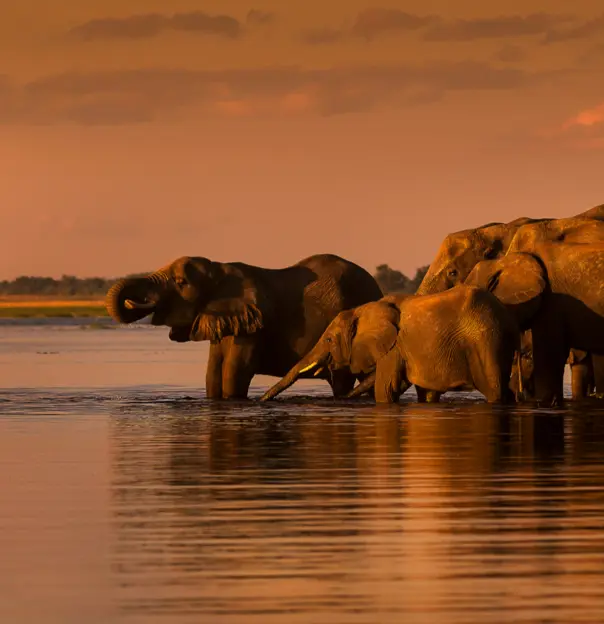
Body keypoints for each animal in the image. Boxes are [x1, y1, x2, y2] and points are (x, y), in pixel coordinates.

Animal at [105, 254, 382, 400]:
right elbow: (213, 373)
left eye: (181, 282)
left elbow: (235, 371)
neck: (220, 270)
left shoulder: (255, 324)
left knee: (343, 380)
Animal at [262, 284, 520, 404]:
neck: (364, 309)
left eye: (328, 339)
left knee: (495, 389)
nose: (262, 400)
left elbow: (386, 387)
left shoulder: (394, 348)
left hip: (486, 341)